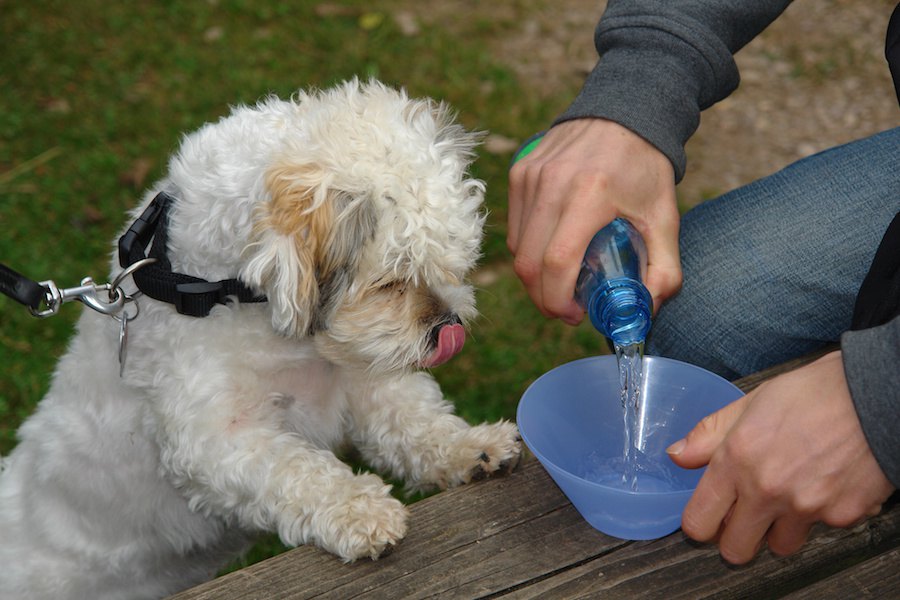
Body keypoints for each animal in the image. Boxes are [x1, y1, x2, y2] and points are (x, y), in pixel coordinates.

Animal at [0, 81, 520, 600]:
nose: (448, 329)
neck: (215, 294)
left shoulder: (365, 377)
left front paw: (472, 446)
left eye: (453, 262)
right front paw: (361, 509)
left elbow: (416, 421)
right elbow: (296, 470)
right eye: (392, 282)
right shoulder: (215, 440)